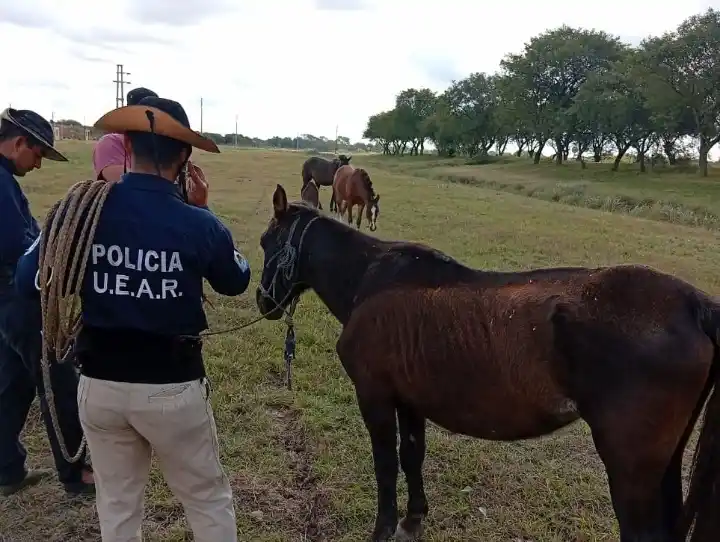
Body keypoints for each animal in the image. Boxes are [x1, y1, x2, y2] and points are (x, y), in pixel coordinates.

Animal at [257, 185, 720, 542]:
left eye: (266, 244)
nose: (264, 302)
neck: (371, 279)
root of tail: (693, 304)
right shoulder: (409, 399)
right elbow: (411, 456)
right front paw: (412, 520)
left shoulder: (375, 396)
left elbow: (385, 466)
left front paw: (383, 529)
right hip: (664, 464)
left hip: (630, 470)